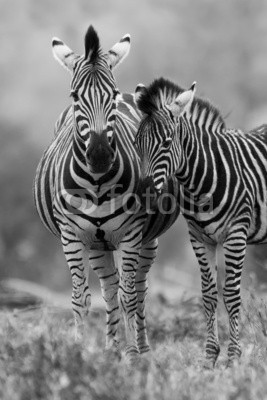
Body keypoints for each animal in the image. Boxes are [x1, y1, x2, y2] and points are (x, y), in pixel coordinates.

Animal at [34, 26, 180, 360]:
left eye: (110, 95)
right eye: (75, 96)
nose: (100, 154)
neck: (98, 182)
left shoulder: (132, 233)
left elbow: (129, 297)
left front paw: (133, 356)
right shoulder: (72, 236)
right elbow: (81, 298)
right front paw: (79, 351)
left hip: (146, 240)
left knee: (138, 289)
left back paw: (140, 347)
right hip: (98, 244)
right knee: (109, 289)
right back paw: (112, 347)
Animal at [135, 76, 267, 368]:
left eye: (166, 142)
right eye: (137, 143)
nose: (141, 192)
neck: (199, 182)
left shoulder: (236, 233)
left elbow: (231, 293)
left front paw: (233, 357)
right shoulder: (199, 237)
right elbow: (208, 294)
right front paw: (209, 357)